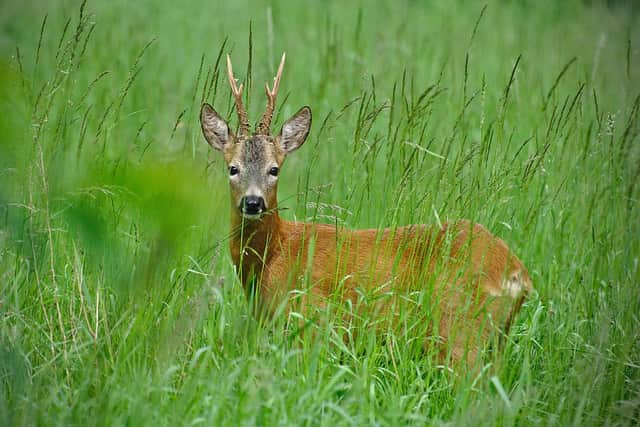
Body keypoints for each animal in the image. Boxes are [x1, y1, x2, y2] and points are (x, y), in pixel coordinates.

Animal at [202, 52, 532, 368]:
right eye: (233, 168)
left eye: (274, 169)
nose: (253, 202)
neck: (275, 254)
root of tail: (517, 274)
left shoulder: (312, 320)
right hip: (494, 339)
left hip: (459, 329)